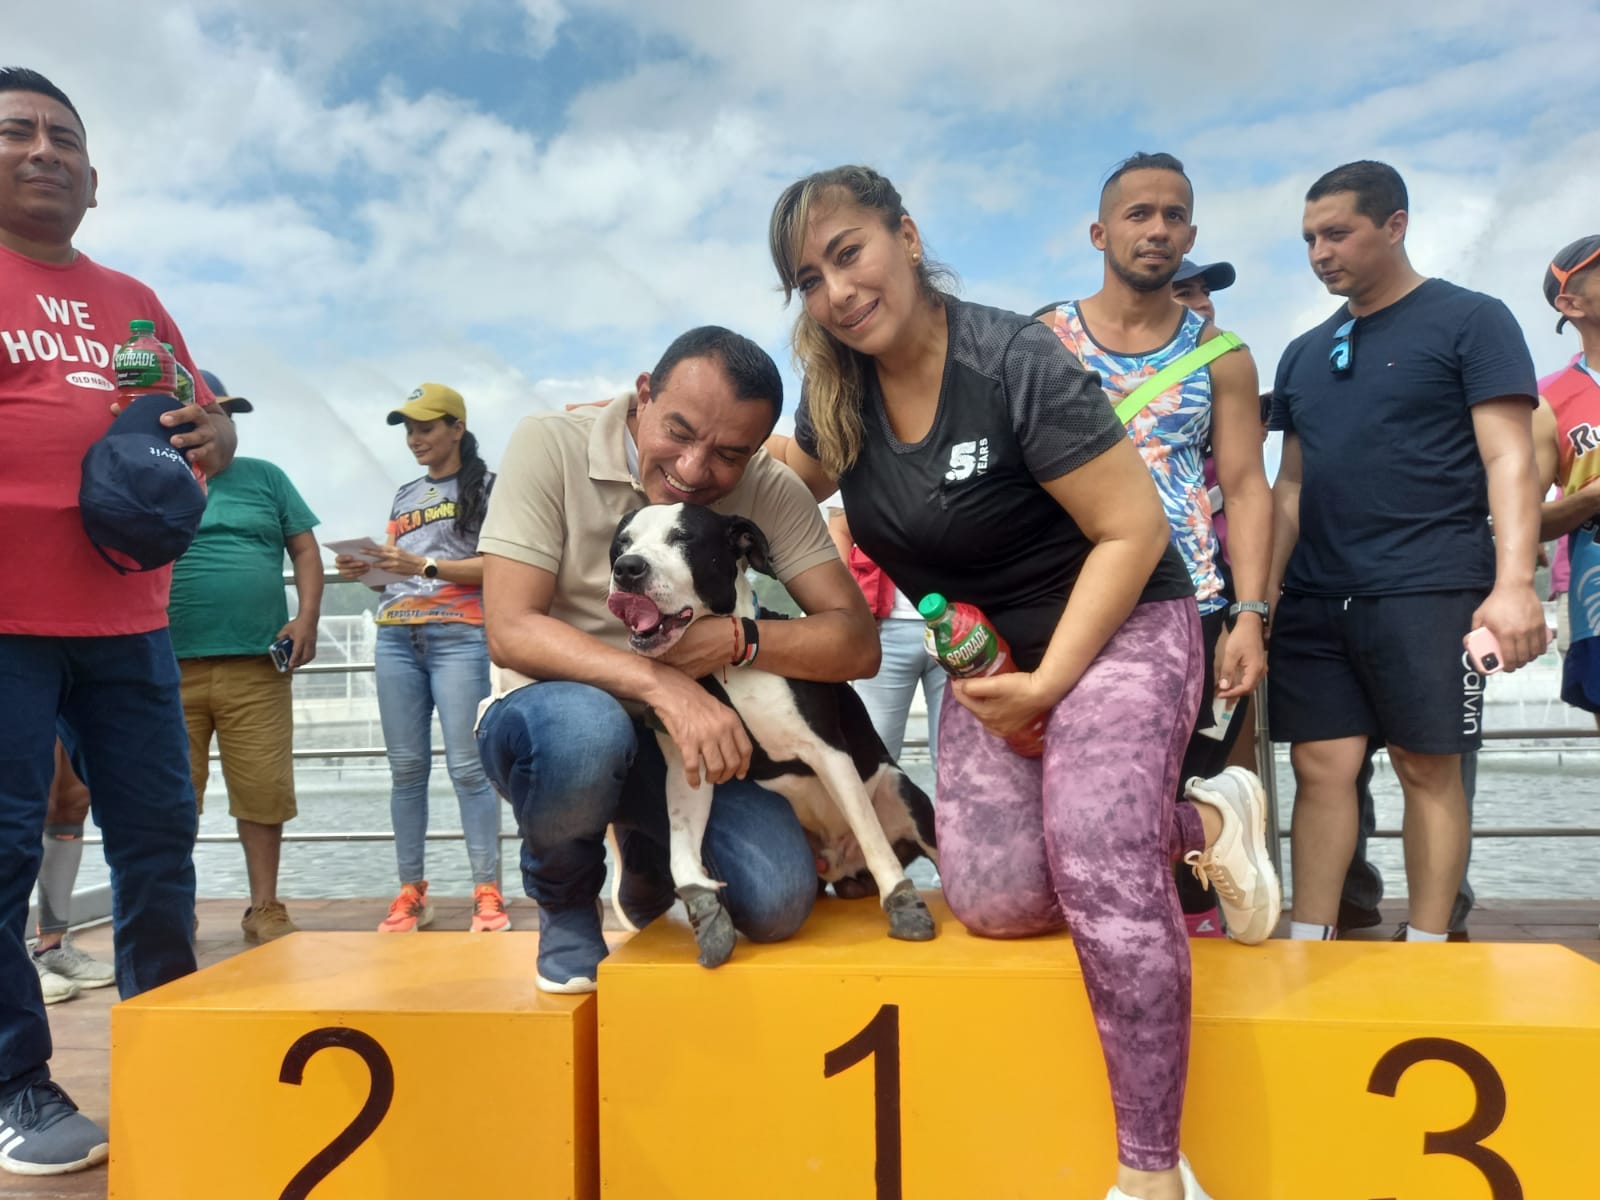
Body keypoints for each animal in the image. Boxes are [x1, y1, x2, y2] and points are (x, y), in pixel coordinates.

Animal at [607, 502, 938, 968]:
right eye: (622, 543)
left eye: (683, 538)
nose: (627, 568)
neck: (723, 671)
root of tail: (841, 866)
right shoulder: (691, 768)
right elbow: (681, 850)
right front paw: (705, 909)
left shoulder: (828, 752)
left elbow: (872, 836)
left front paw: (901, 903)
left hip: (901, 791)